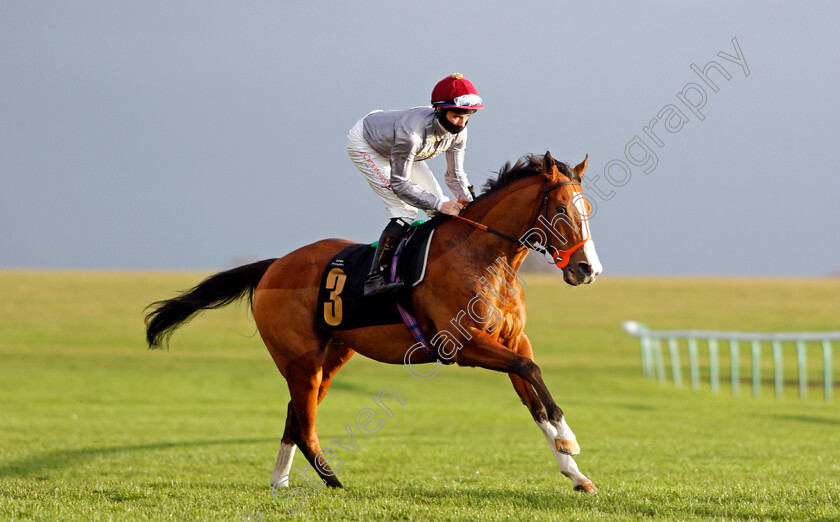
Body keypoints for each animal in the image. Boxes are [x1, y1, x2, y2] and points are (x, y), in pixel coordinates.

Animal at [146, 150, 604, 492]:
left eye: (587, 208)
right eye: (560, 208)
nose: (588, 270)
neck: (483, 256)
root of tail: (274, 265)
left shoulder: (513, 340)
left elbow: (534, 395)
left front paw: (576, 474)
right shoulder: (463, 345)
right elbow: (533, 373)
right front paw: (571, 440)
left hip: (331, 357)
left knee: (295, 415)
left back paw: (281, 479)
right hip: (301, 359)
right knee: (304, 423)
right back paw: (331, 480)